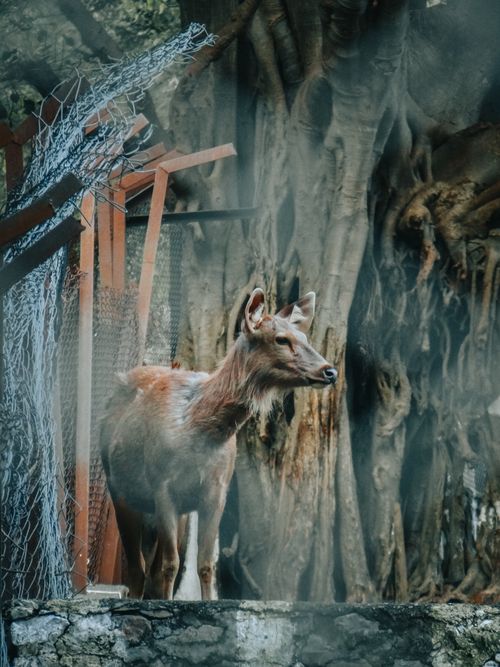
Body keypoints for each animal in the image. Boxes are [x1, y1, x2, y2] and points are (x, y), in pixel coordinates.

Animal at [99, 288, 337, 600]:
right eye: (281, 339)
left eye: (305, 338)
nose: (330, 371)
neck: (202, 433)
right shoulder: (162, 486)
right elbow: (170, 564)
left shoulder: (217, 491)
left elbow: (204, 564)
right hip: (119, 489)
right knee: (137, 567)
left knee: (149, 566)